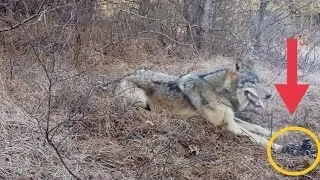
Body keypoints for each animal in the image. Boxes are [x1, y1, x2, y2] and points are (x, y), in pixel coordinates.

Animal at [115, 60, 288, 152]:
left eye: (259, 81)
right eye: (252, 82)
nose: (269, 95)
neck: (221, 92)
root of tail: (123, 77)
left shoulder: (232, 118)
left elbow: (257, 127)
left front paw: (278, 133)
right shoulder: (230, 126)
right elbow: (257, 137)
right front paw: (282, 147)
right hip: (139, 101)